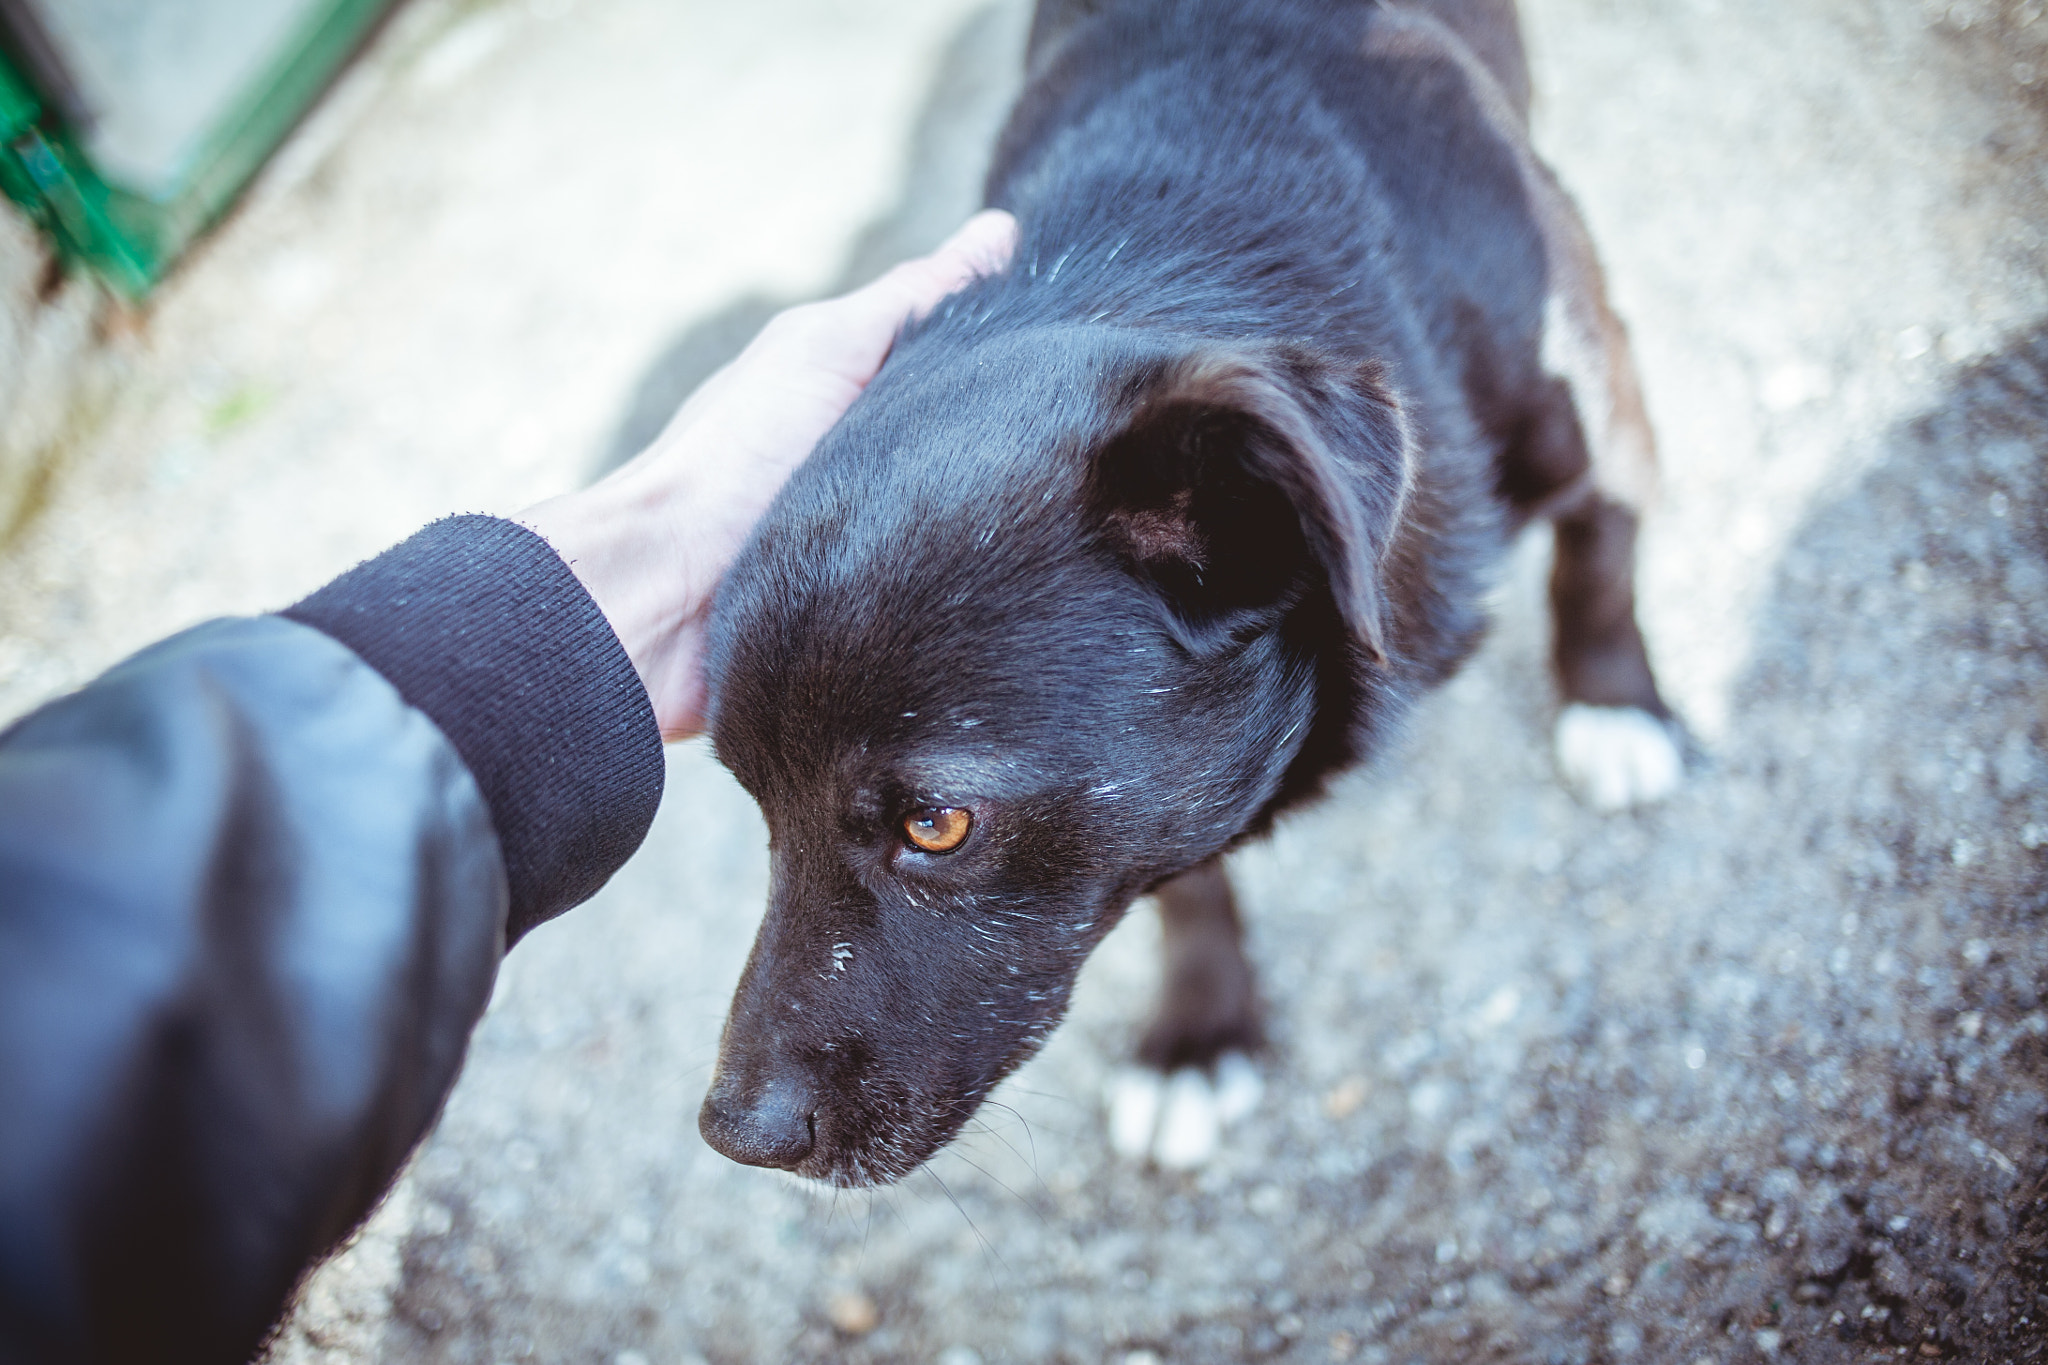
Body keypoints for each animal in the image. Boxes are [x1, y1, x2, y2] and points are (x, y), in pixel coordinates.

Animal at [696, 0, 1671, 1186]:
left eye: (936, 824)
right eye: (754, 800)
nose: (735, 1134)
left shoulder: (1606, 412)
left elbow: (1598, 561)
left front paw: (1614, 704)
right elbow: (1182, 874)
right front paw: (1197, 1028)